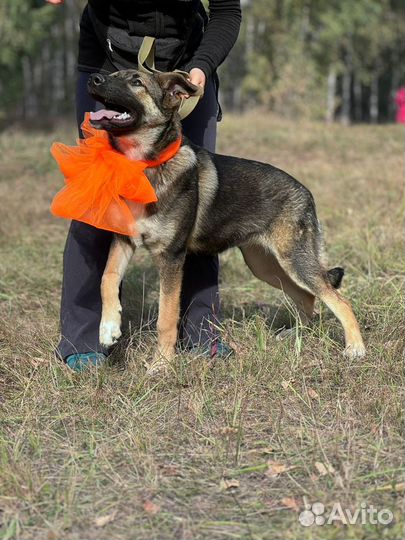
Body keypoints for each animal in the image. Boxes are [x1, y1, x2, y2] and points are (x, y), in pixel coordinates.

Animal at [88, 68, 366, 372]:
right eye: (114, 73)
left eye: (136, 82)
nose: (94, 79)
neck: (144, 165)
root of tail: (306, 193)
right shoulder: (123, 240)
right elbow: (107, 278)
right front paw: (108, 328)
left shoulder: (171, 257)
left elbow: (166, 317)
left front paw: (162, 364)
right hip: (264, 265)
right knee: (307, 295)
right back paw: (297, 335)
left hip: (295, 261)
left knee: (337, 299)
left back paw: (355, 348)